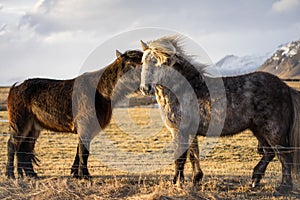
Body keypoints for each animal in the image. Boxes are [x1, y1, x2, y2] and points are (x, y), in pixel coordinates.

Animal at [6, 49, 142, 178]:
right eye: (130, 64)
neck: (101, 91)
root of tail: (16, 87)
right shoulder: (85, 126)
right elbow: (83, 152)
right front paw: (85, 175)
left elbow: (79, 151)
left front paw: (76, 174)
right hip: (19, 123)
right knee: (12, 145)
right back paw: (10, 175)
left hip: (33, 128)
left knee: (25, 148)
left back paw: (31, 174)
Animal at [139, 36, 300, 195]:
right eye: (143, 62)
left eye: (161, 63)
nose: (145, 88)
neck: (185, 89)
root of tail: (286, 88)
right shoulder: (190, 131)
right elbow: (193, 155)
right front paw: (195, 179)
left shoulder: (180, 131)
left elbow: (180, 158)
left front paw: (177, 183)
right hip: (258, 129)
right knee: (269, 152)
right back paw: (255, 180)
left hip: (273, 130)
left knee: (284, 156)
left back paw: (283, 188)